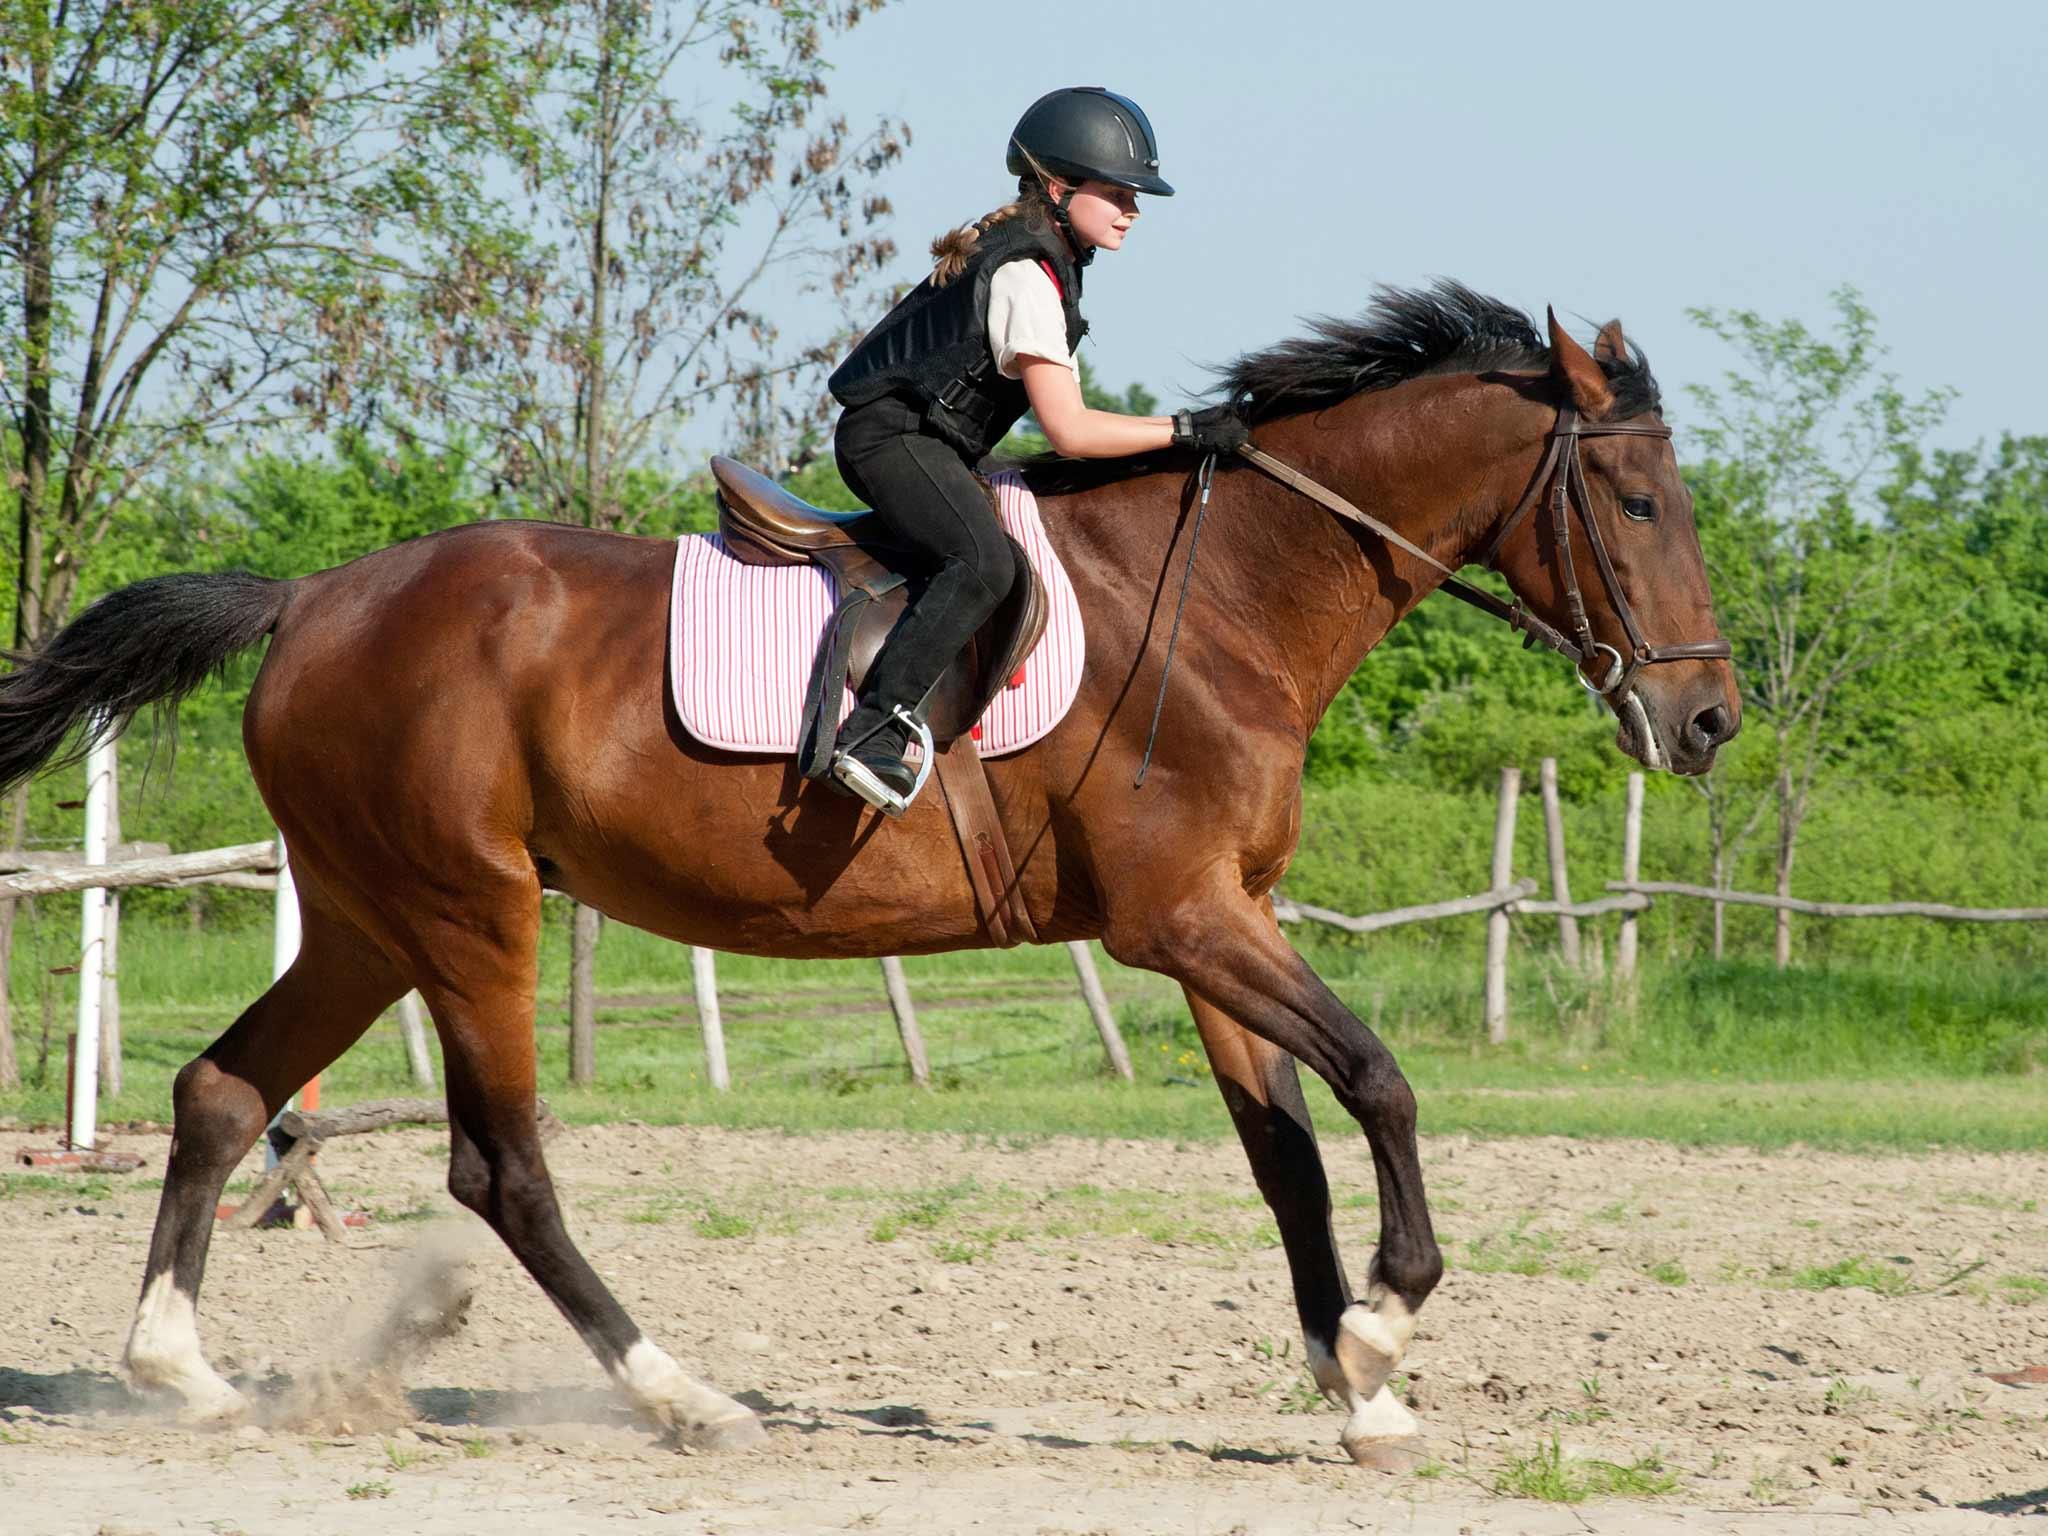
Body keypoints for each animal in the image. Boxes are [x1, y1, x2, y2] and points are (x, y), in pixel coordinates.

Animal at [0, 282, 1736, 1474]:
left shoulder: (1215, 928)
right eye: (1641, 502)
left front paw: (1358, 1389)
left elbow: (1288, 1153)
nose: (1710, 721)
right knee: (500, 1171)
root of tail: (308, 602)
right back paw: (686, 1399)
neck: (1228, 595)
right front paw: (1383, 1320)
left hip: (368, 920)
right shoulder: (1185, 921)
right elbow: (1378, 1081)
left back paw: (184, 1374)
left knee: (225, 1090)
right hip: (470, 915)